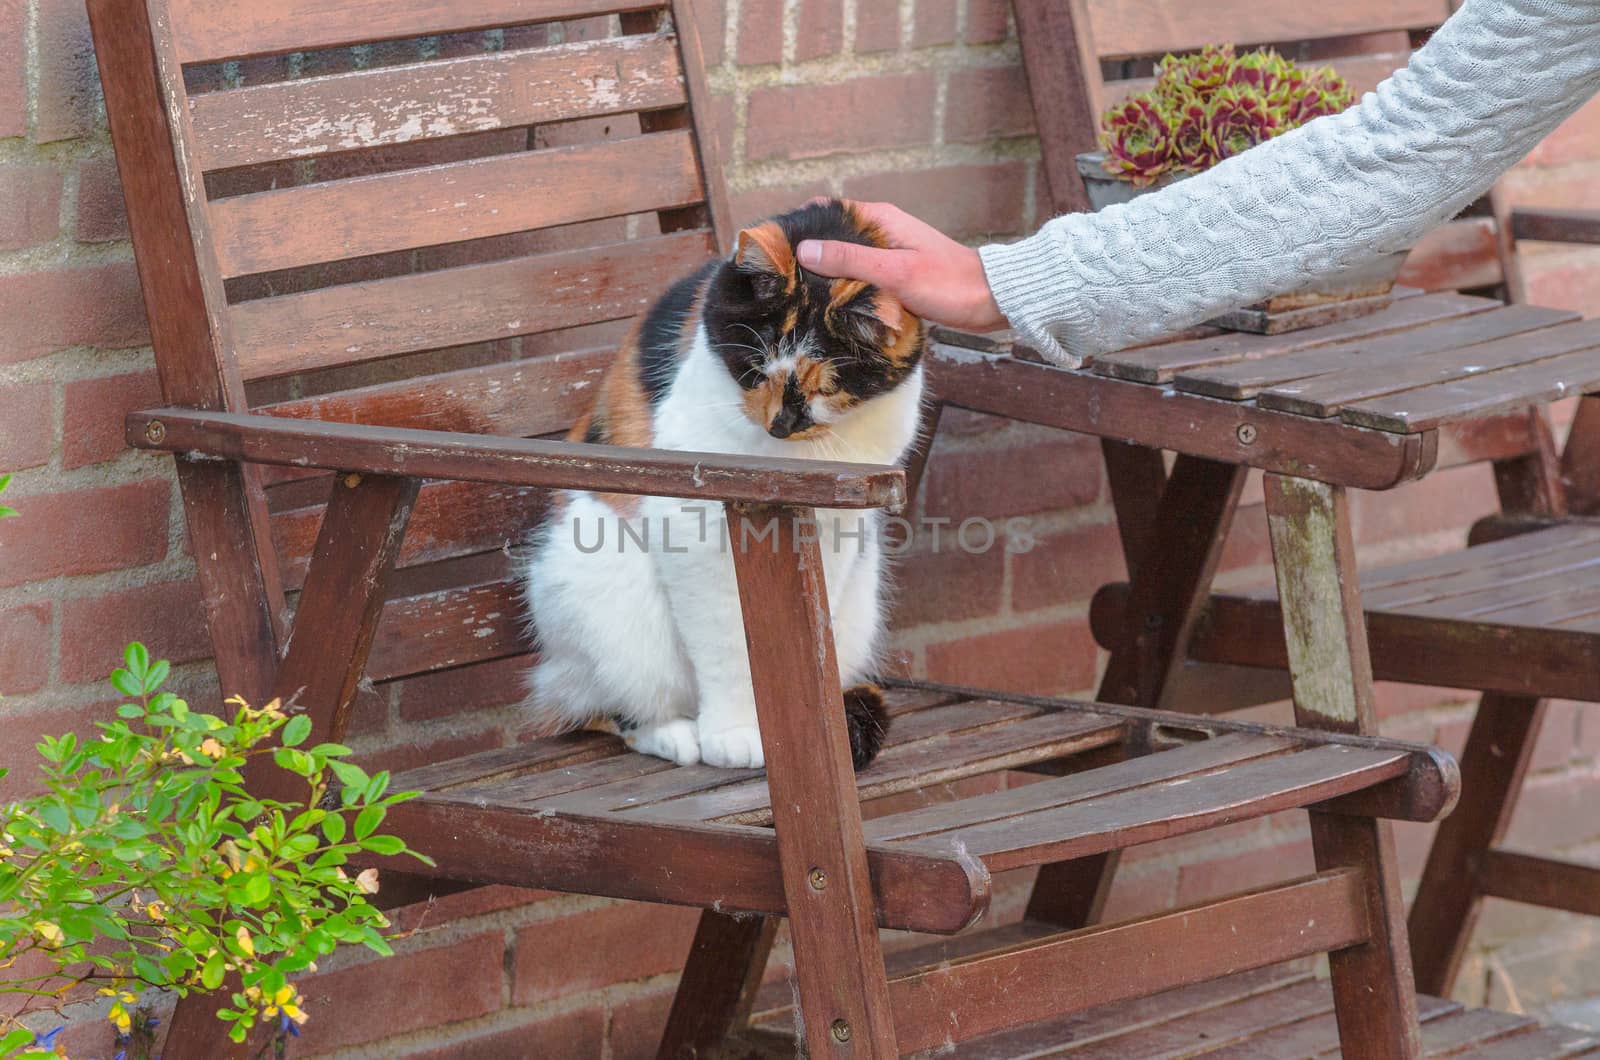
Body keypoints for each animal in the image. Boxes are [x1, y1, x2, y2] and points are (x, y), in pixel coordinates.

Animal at [524, 201, 928, 771]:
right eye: (754, 367)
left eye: (827, 387)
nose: (779, 425)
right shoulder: (691, 524)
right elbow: (725, 637)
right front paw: (736, 733)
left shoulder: (834, 528)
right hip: (594, 577)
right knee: (606, 708)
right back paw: (677, 734)